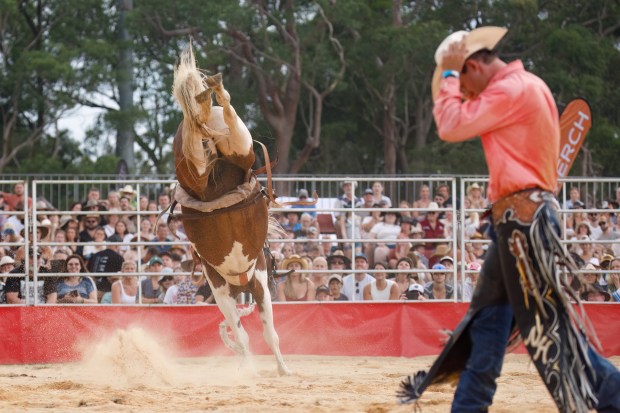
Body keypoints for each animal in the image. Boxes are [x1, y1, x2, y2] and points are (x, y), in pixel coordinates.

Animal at [171, 44, 290, 376]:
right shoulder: (241, 286)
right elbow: (254, 333)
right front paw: (267, 368)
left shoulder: (251, 283)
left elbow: (260, 333)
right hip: (239, 149)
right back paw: (206, 94)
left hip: (212, 156)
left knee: (198, 141)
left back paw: (202, 97)